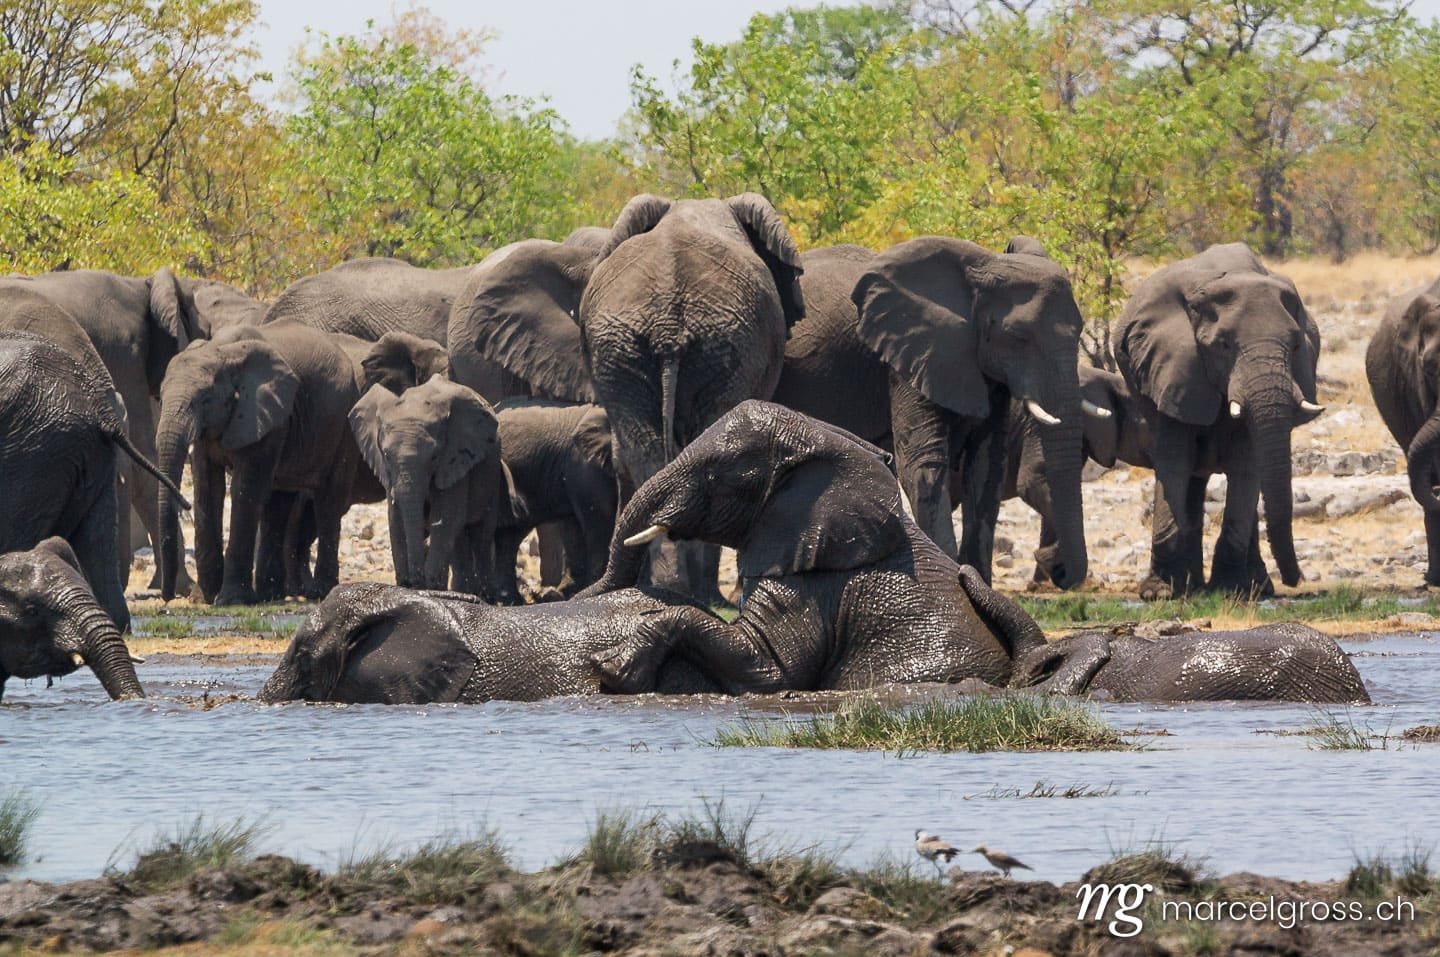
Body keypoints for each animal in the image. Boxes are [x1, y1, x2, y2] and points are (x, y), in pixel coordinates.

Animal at [157, 321, 361, 605]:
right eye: (161, 395)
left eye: (205, 399)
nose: (167, 598)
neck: (220, 352)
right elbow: (208, 489)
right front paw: (203, 599)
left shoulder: (266, 417)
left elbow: (245, 489)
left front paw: (232, 600)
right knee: (279, 501)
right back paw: (269, 595)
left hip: (343, 422)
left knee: (328, 501)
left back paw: (320, 592)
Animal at [348, 379, 507, 594]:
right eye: (387, 456)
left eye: (434, 457)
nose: (415, 582)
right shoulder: (388, 474)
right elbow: (396, 520)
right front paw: (407, 584)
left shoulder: (454, 459)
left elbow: (447, 518)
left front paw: (432, 586)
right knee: (460, 541)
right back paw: (462, 591)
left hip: (492, 475)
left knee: (480, 535)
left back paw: (482, 595)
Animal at [492, 398, 618, 600]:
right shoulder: (583, 466)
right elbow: (599, 519)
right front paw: (583, 590)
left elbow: (575, 525)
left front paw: (567, 592)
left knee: (509, 536)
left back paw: (511, 599)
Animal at [851, 237, 1090, 588]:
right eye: (1018, 337)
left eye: (1080, 332)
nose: (1055, 565)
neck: (984, 267)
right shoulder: (910, 352)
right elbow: (923, 464)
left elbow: (986, 467)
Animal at [1113, 243, 1322, 599]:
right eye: (1223, 345)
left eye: (1296, 345)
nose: (1296, 579)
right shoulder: (1172, 367)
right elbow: (1174, 460)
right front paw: (1159, 593)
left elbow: (1245, 464)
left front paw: (1232, 589)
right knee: (1192, 478)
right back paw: (1193, 585)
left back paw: (1252, 586)